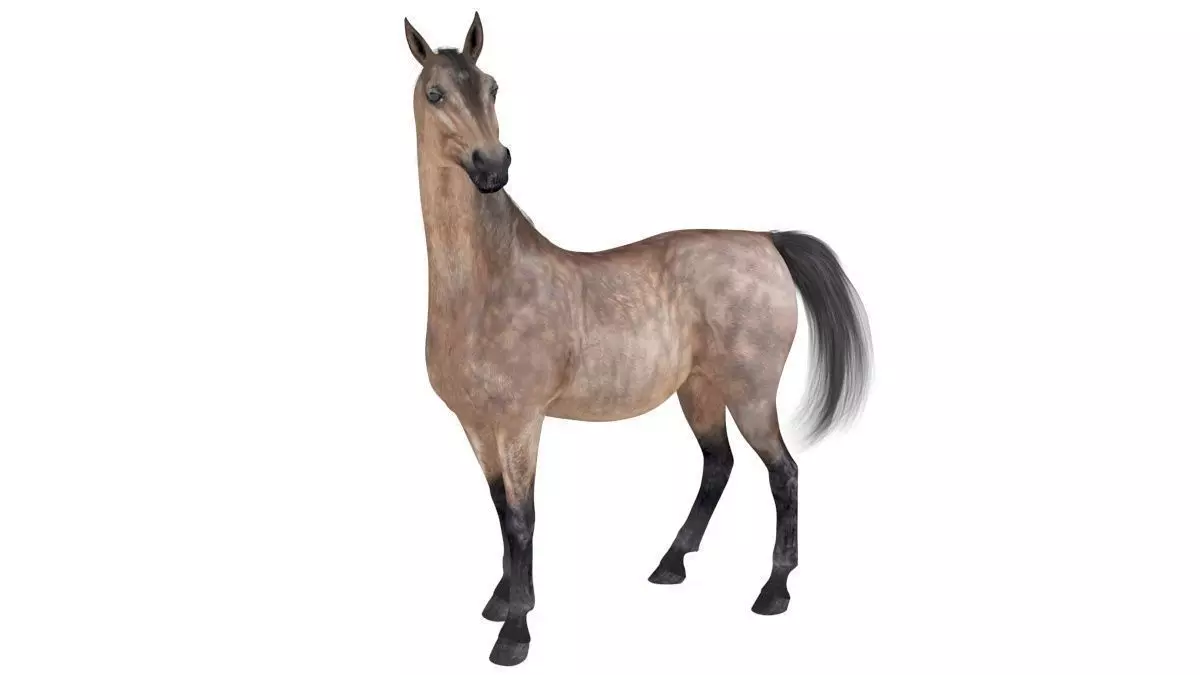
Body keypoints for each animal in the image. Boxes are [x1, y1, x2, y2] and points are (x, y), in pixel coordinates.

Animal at [403, 13, 872, 666]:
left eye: (493, 87)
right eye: (435, 93)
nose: (493, 166)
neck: (488, 283)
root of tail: (765, 240)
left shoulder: (521, 421)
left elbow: (523, 518)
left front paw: (515, 631)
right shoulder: (476, 423)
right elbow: (500, 511)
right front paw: (502, 600)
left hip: (750, 394)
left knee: (784, 473)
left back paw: (773, 591)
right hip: (699, 391)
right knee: (718, 465)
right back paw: (671, 564)